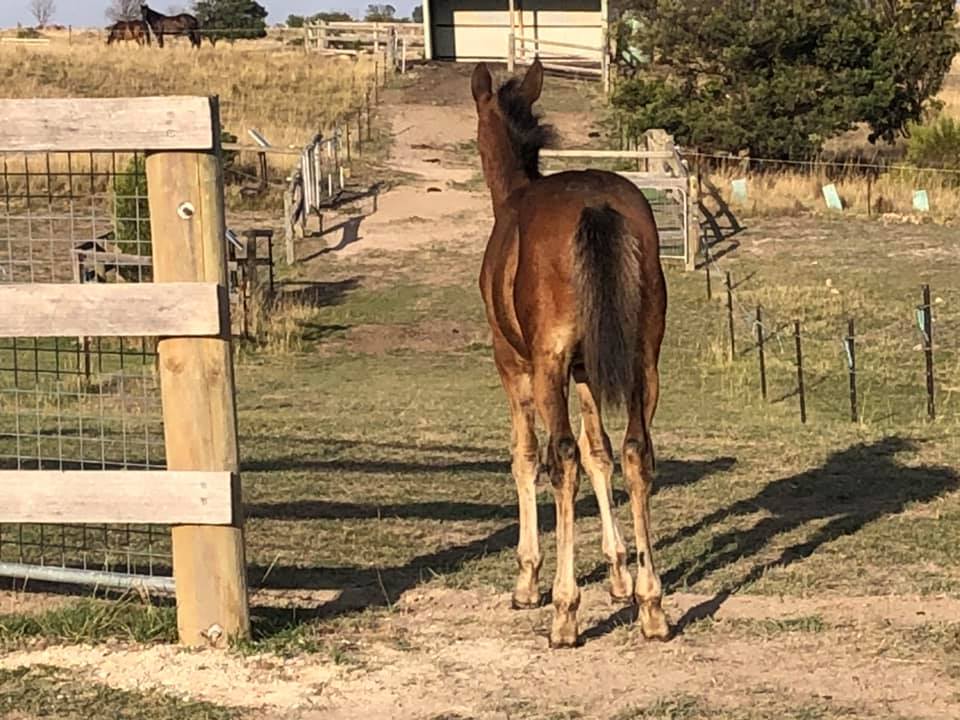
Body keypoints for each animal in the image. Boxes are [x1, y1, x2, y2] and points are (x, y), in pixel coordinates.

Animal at [470, 60, 668, 648]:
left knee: (560, 459)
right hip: (643, 362)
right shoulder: (588, 370)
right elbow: (599, 451)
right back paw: (653, 606)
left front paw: (528, 580)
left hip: (547, 367)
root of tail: (595, 206)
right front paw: (621, 576)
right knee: (636, 453)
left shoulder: (517, 366)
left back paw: (564, 612)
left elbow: (527, 456)